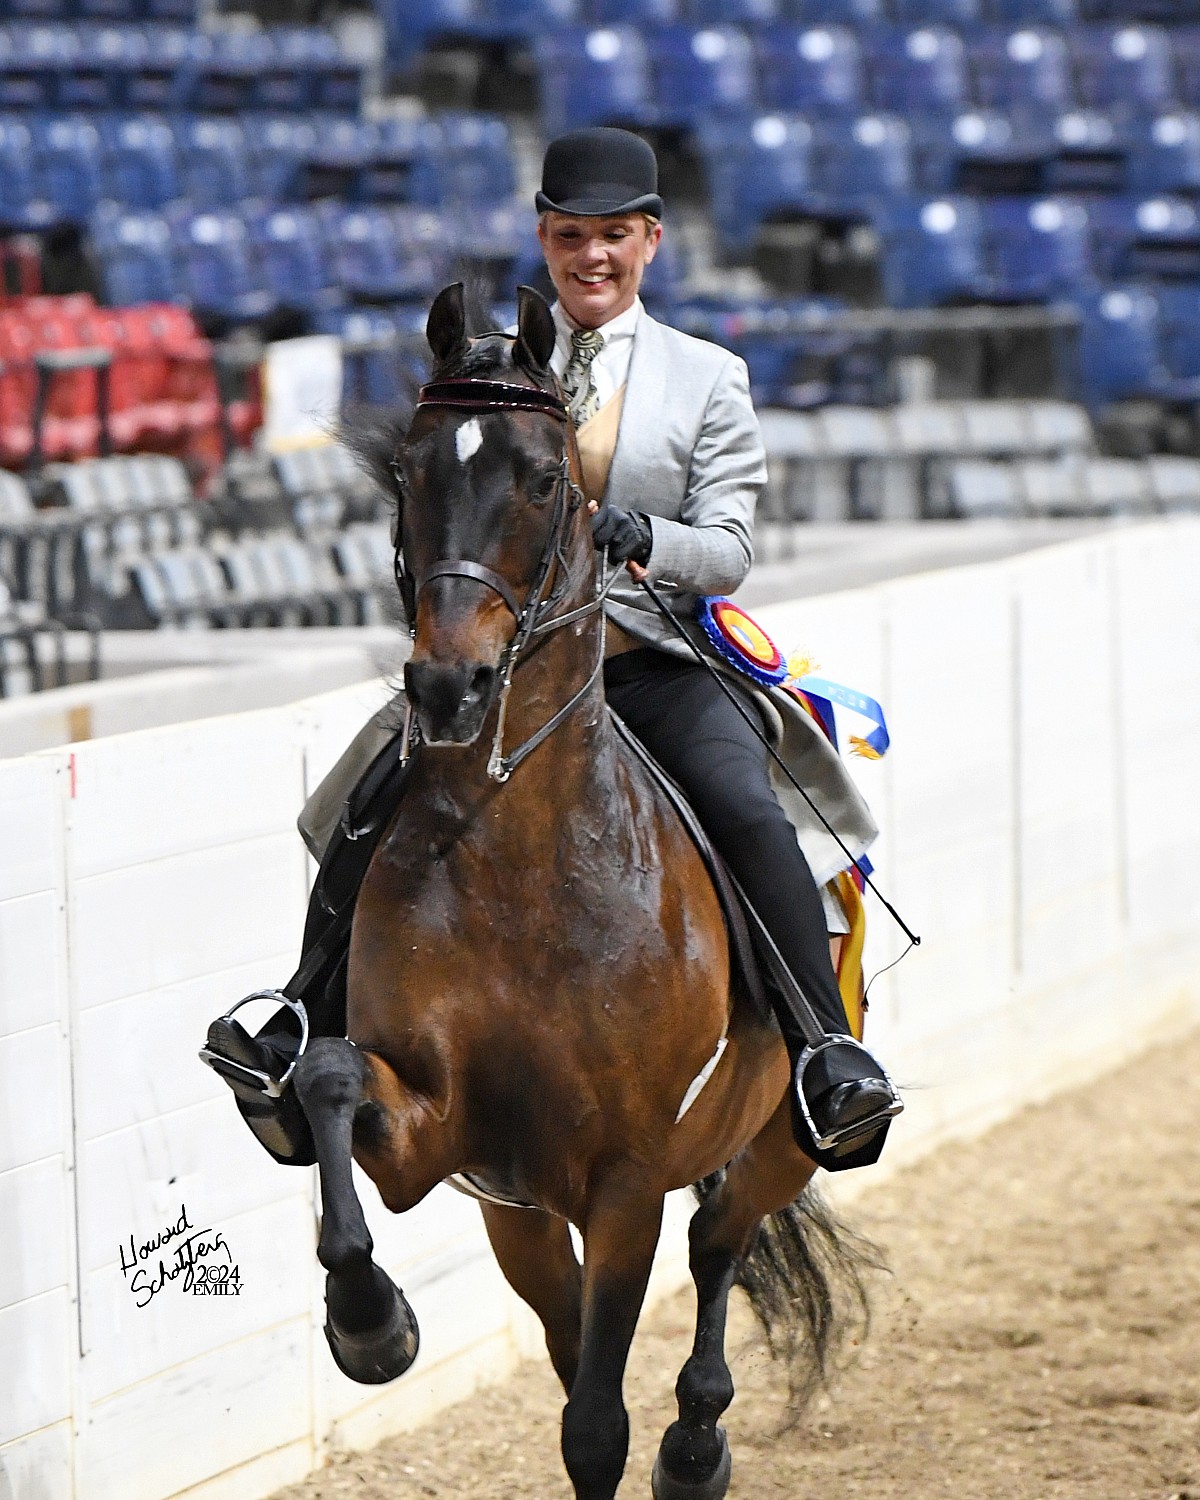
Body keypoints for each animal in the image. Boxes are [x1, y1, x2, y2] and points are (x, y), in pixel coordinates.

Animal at [291, 283, 870, 1500]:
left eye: (547, 480)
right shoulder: (448, 1142)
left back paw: (697, 1446)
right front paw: (369, 1324)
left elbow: (599, 1425)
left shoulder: (627, 1183)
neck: (523, 862)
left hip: (785, 1135)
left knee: (720, 1242)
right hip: (522, 1218)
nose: (448, 687)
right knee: (581, 1332)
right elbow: (326, 1076)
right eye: (410, 471)